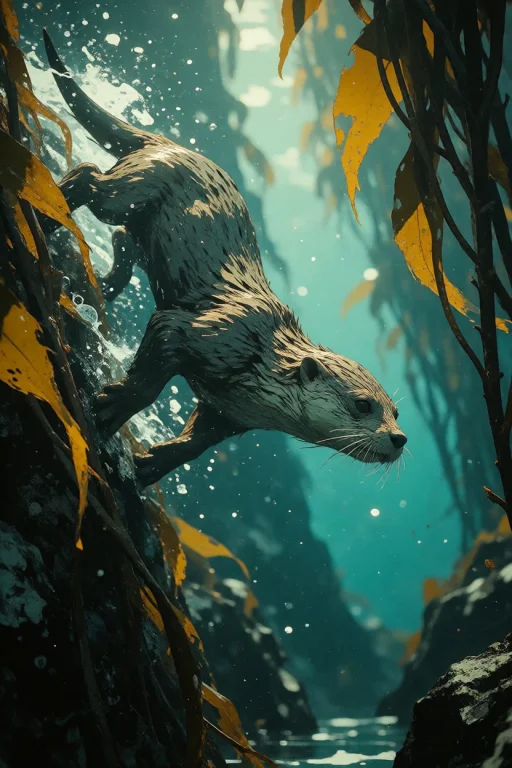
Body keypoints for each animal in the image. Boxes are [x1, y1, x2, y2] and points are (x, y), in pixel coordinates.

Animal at [43, 31, 407, 488]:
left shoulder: (230, 413)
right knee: (91, 177)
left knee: (123, 238)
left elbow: (197, 442)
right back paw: (49, 212)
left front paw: (152, 464)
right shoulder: (196, 332)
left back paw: (101, 287)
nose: (399, 439)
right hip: (133, 189)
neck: (262, 362)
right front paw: (112, 406)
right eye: (363, 405)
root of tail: (170, 145)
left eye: (396, 412)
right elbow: (151, 375)